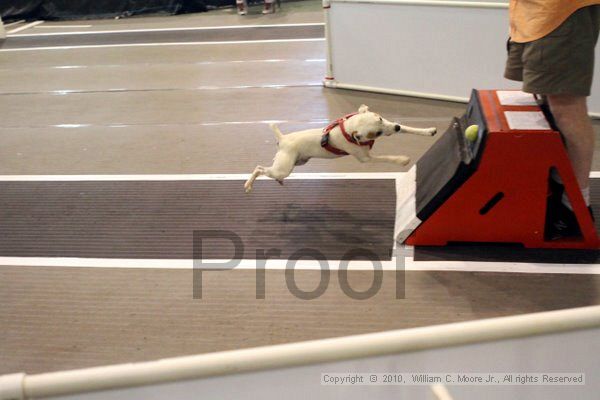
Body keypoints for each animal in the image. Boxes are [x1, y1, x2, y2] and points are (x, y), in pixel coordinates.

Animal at [244, 104, 436, 193]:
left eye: (380, 118)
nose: (395, 128)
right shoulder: (365, 158)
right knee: (259, 168)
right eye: (376, 133)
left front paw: (429, 130)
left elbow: (410, 128)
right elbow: (386, 157)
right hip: (284, 168)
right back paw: (248, 184)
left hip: (297, 163)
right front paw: (402, 159)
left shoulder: (392, 126)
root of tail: (283, 138)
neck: (349, 129)